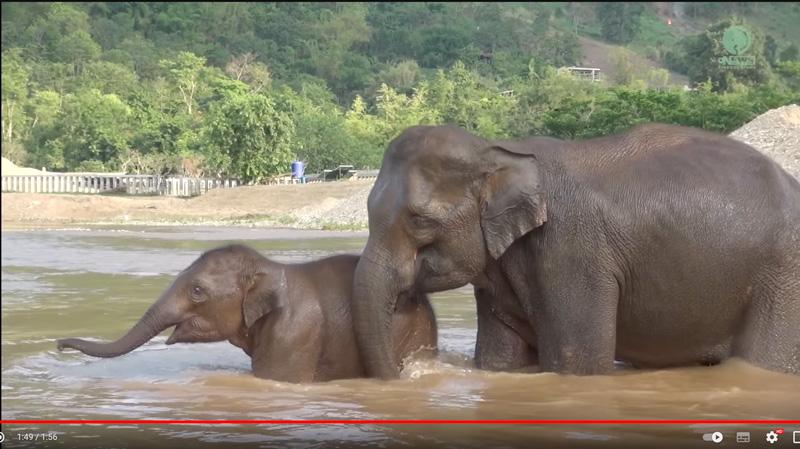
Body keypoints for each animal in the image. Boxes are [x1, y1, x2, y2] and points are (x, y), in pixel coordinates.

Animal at [354, 122, 800, 378]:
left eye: (419, 220)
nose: (404, 375)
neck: (497, 150)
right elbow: (500, 360)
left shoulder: (571, 251)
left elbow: (576, 363)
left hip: (783, 279)